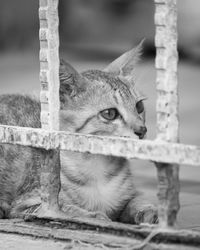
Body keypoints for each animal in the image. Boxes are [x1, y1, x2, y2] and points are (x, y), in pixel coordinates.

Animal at [0, 43, 157, 225]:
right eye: (109, 114)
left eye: (139, 107)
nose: (142, 130)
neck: (98, 170)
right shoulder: (30, 203)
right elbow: (64, 209)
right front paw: (94, 216)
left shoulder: (129, 196)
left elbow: (137, 202)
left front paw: (151, 212)